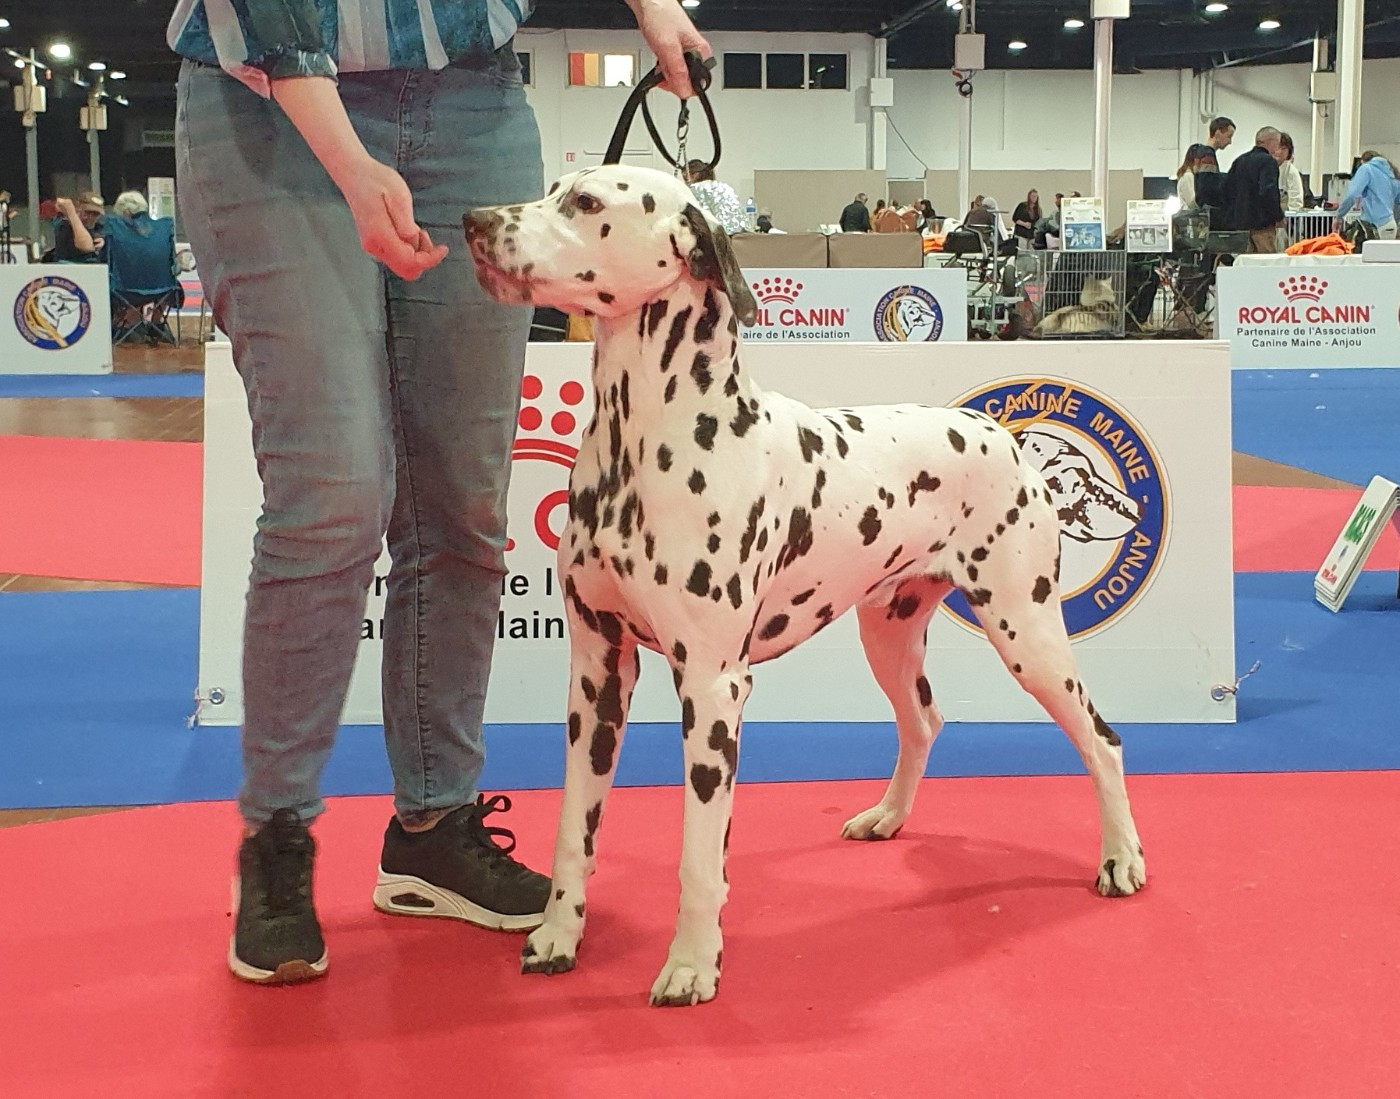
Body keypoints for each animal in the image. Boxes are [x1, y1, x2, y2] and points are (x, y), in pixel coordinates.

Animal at [465, 165, 1146, 1007]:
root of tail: (1005, 436)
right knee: (924, 721)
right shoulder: (597, 673)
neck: (644, 438)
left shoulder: (713, 687)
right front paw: (559, 933)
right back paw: (887, 815)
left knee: (1103, 740)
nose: (472, 221)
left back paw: (1120, 857)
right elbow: (572, 829)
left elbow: (700, 854)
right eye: (552, 186)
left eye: (587, 203)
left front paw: (691, 963)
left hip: (1029, 633)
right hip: (889, 633)